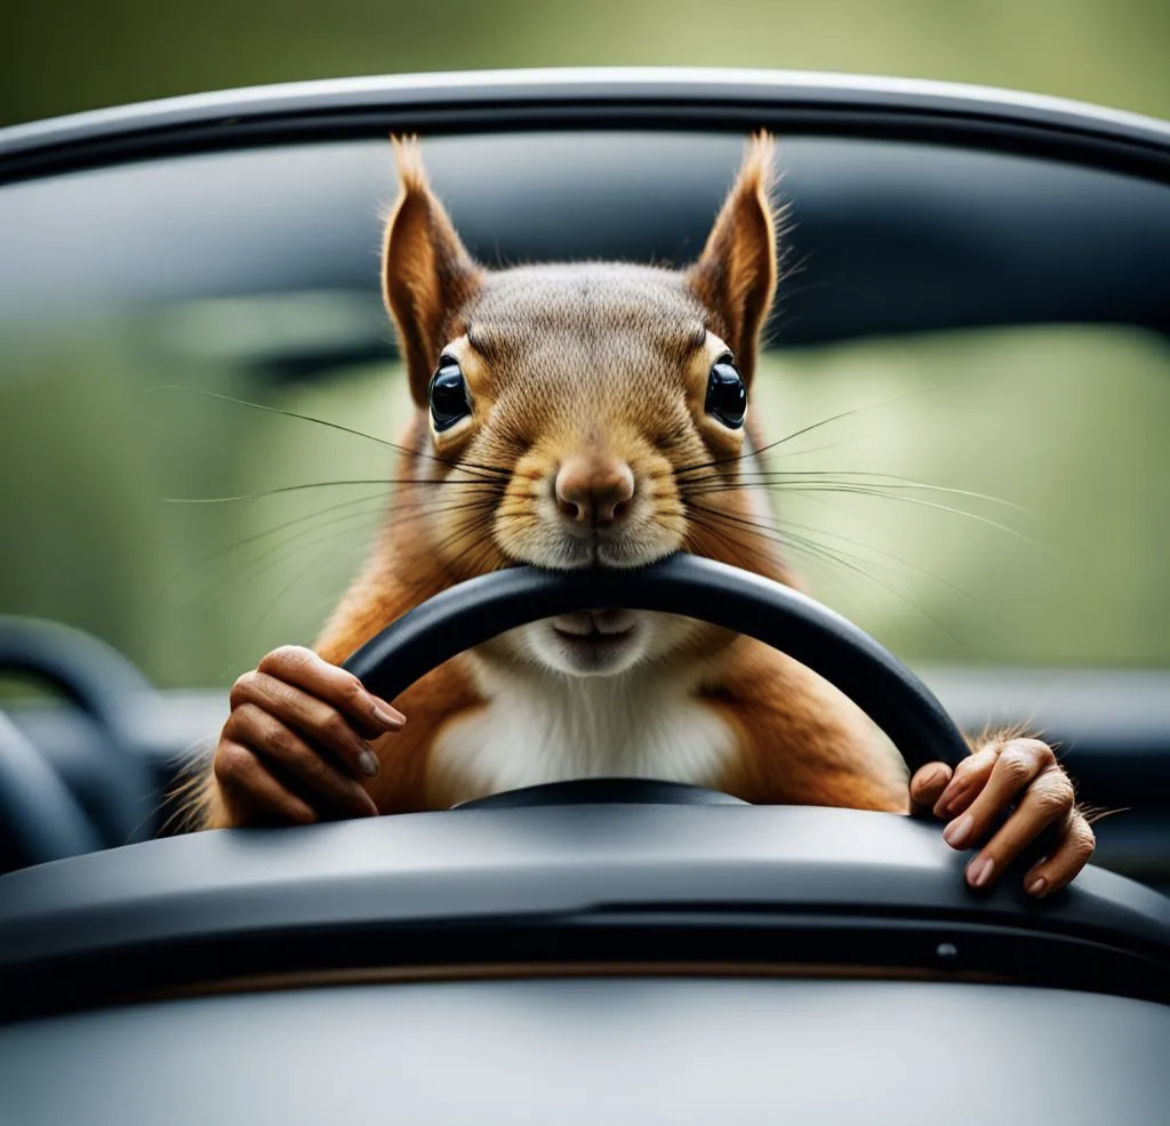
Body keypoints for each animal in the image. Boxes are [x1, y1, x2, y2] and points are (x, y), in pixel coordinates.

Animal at [185, 134, 1096, 896]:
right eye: (444, 393)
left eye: (730, 390)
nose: (596, 488)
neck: (590, 704)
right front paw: (279, 730)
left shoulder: (802, 725)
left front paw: (1016, 790)